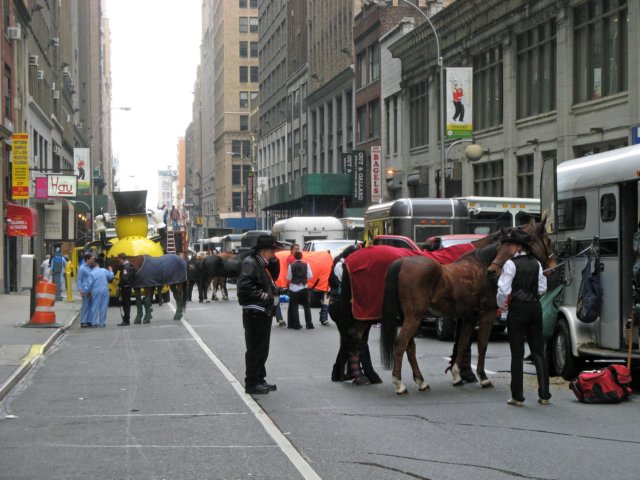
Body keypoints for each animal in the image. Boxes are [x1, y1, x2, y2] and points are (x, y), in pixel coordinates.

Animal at [380, 218, 556, 394]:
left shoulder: (469, 317)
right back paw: (399, 384)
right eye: (548, 240)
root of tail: (401, 262)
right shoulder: (487, 314)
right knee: (401, 344)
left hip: (409, 318)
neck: (482, 265)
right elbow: (482, 344)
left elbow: (463, 343)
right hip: (414, 317)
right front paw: (483, 377)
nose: (553, 267)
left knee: (410, 347)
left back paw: (421, 381)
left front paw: (457, 376)